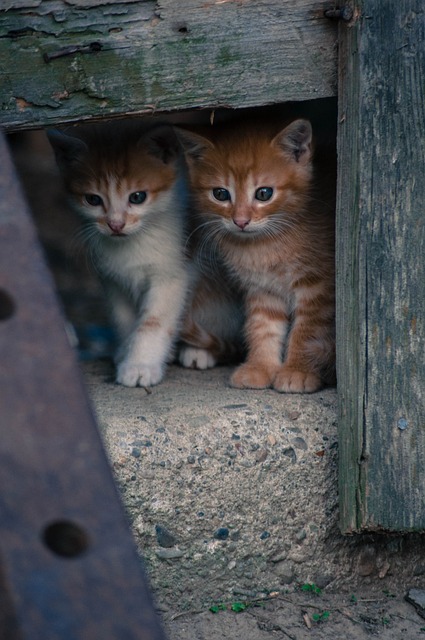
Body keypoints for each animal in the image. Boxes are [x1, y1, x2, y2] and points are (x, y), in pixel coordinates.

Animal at [178, 117, 334, 392]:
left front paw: (298, 371)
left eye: (264, 193)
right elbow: (263, 327)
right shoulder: (262, 288)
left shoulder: (318, 287)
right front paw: (260, 367)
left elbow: (308, 330)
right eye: (220, 194)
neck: (264, 246)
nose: (240, 221)